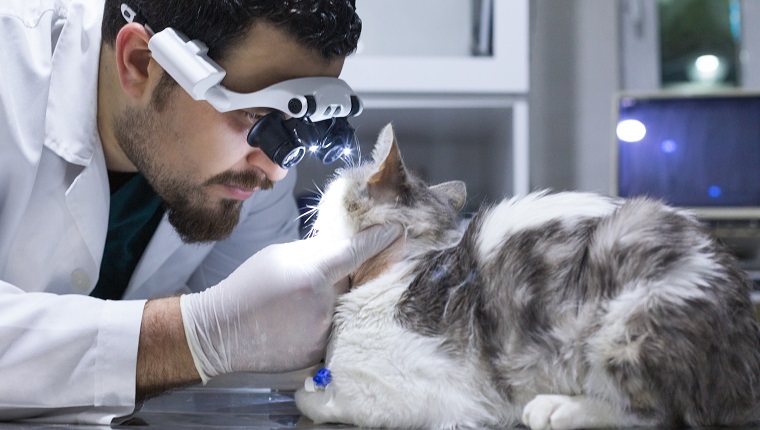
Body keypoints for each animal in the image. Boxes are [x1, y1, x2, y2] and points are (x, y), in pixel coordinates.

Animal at [294, 122, 760, 428]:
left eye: (334, 186)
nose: (313, 202)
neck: (408, 264)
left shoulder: (411, 395)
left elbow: (321, 401)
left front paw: (310, 392)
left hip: (626, 303)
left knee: (658, 413)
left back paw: (559, 409)